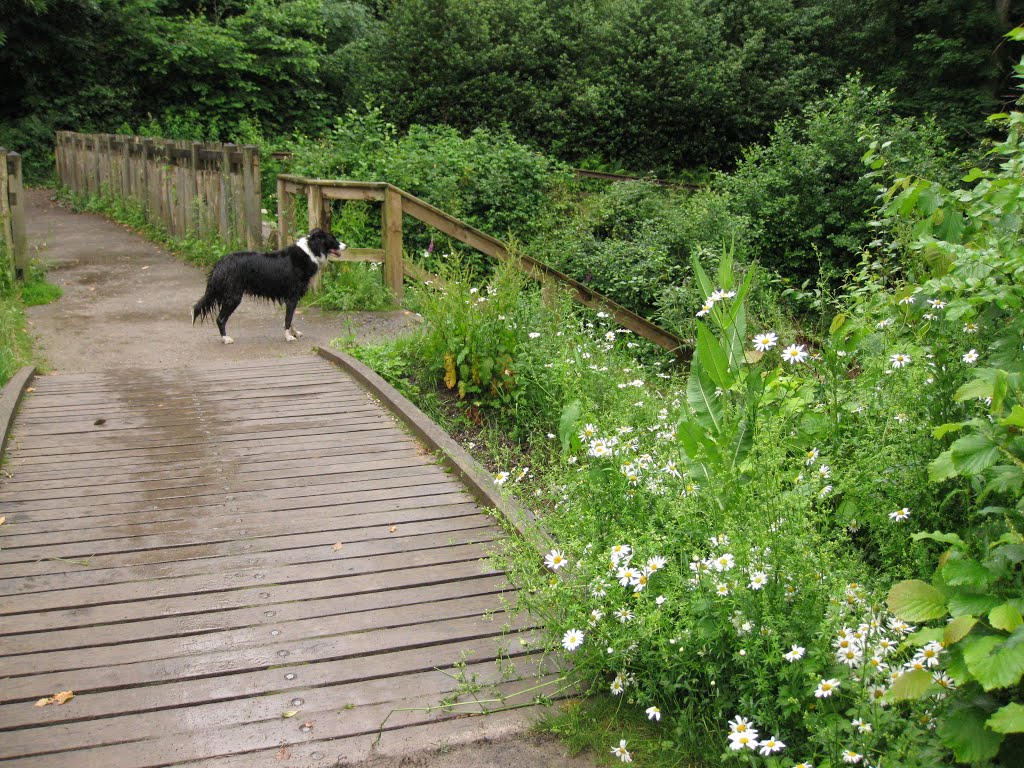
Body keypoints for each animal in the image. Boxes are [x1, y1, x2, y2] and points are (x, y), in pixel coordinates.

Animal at [192, 230, 348, 344]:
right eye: (333, 239)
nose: (346, 246)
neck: (310, 251)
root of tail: (221, 263)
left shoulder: (291, 298)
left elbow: (291, 318)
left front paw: (294, 333)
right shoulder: (292, 296)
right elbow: (288, 319)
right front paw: (288, 337)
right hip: (233, 297)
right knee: (220, 319)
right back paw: (226, 338)